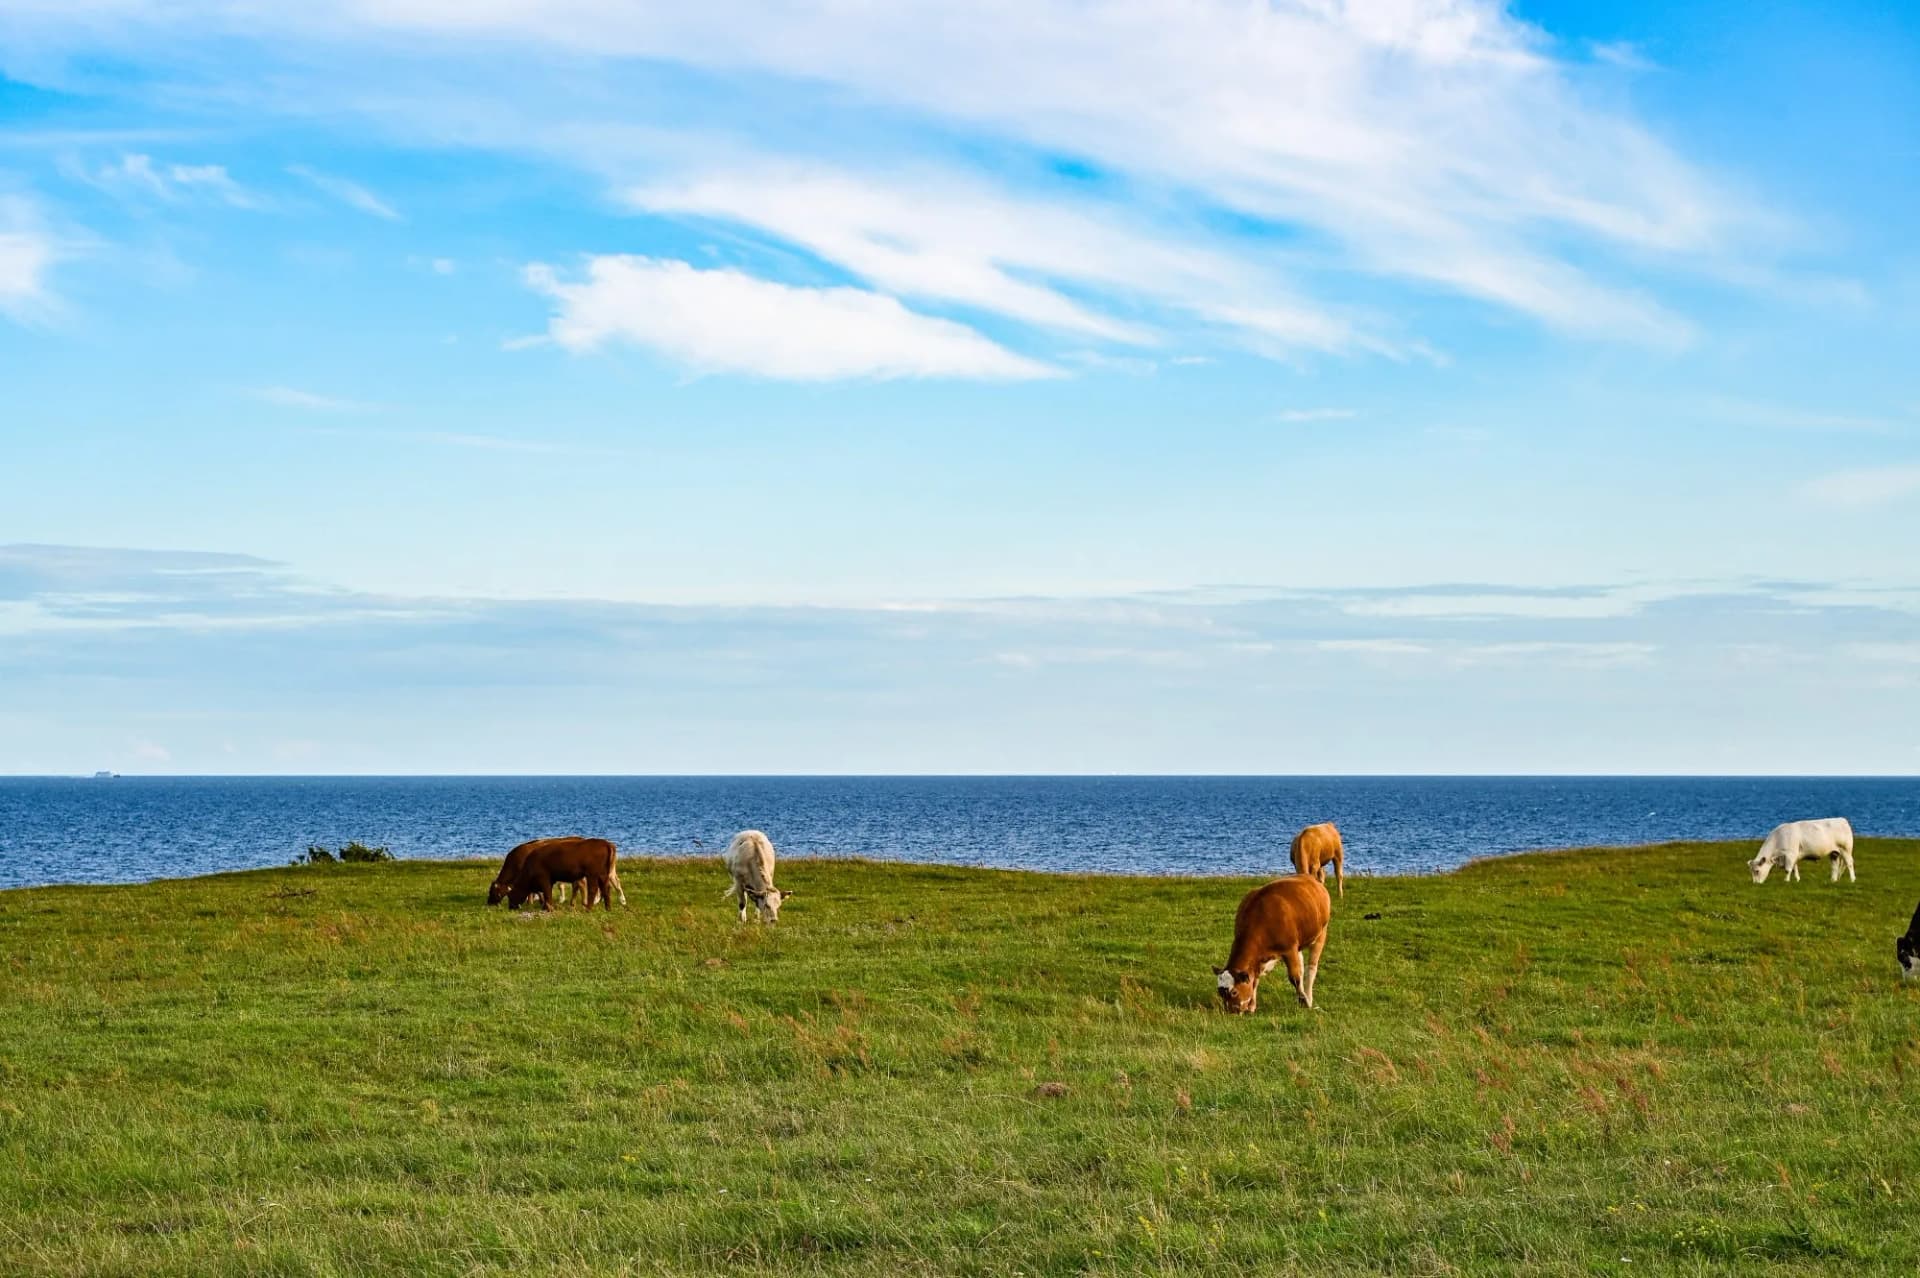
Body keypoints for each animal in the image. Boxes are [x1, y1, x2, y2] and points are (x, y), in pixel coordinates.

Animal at [487, 836, 621, 910]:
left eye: (493, 891)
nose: (489, 903)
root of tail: (607, 844)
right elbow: (543, 893)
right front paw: (542, 905)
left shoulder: (544, 878)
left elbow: (545, 893)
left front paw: (546, 906)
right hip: (602, 875)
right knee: (606, 888)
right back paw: (607, 908)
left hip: (592, 875)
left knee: (592, 889)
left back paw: (587, 907)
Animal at [1214, 875, 1332, 1013]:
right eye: (1220, 993)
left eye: (1234, 992)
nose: (1231, 1012)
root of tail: (1309, 878)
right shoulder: (1258, 960)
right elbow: (1255, 980)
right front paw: (1251, 1006)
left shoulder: (1289, 949)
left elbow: (1295, 978)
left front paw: (1304, 1002)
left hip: (1321, 934)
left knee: (1311, 968)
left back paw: (1308, 997)